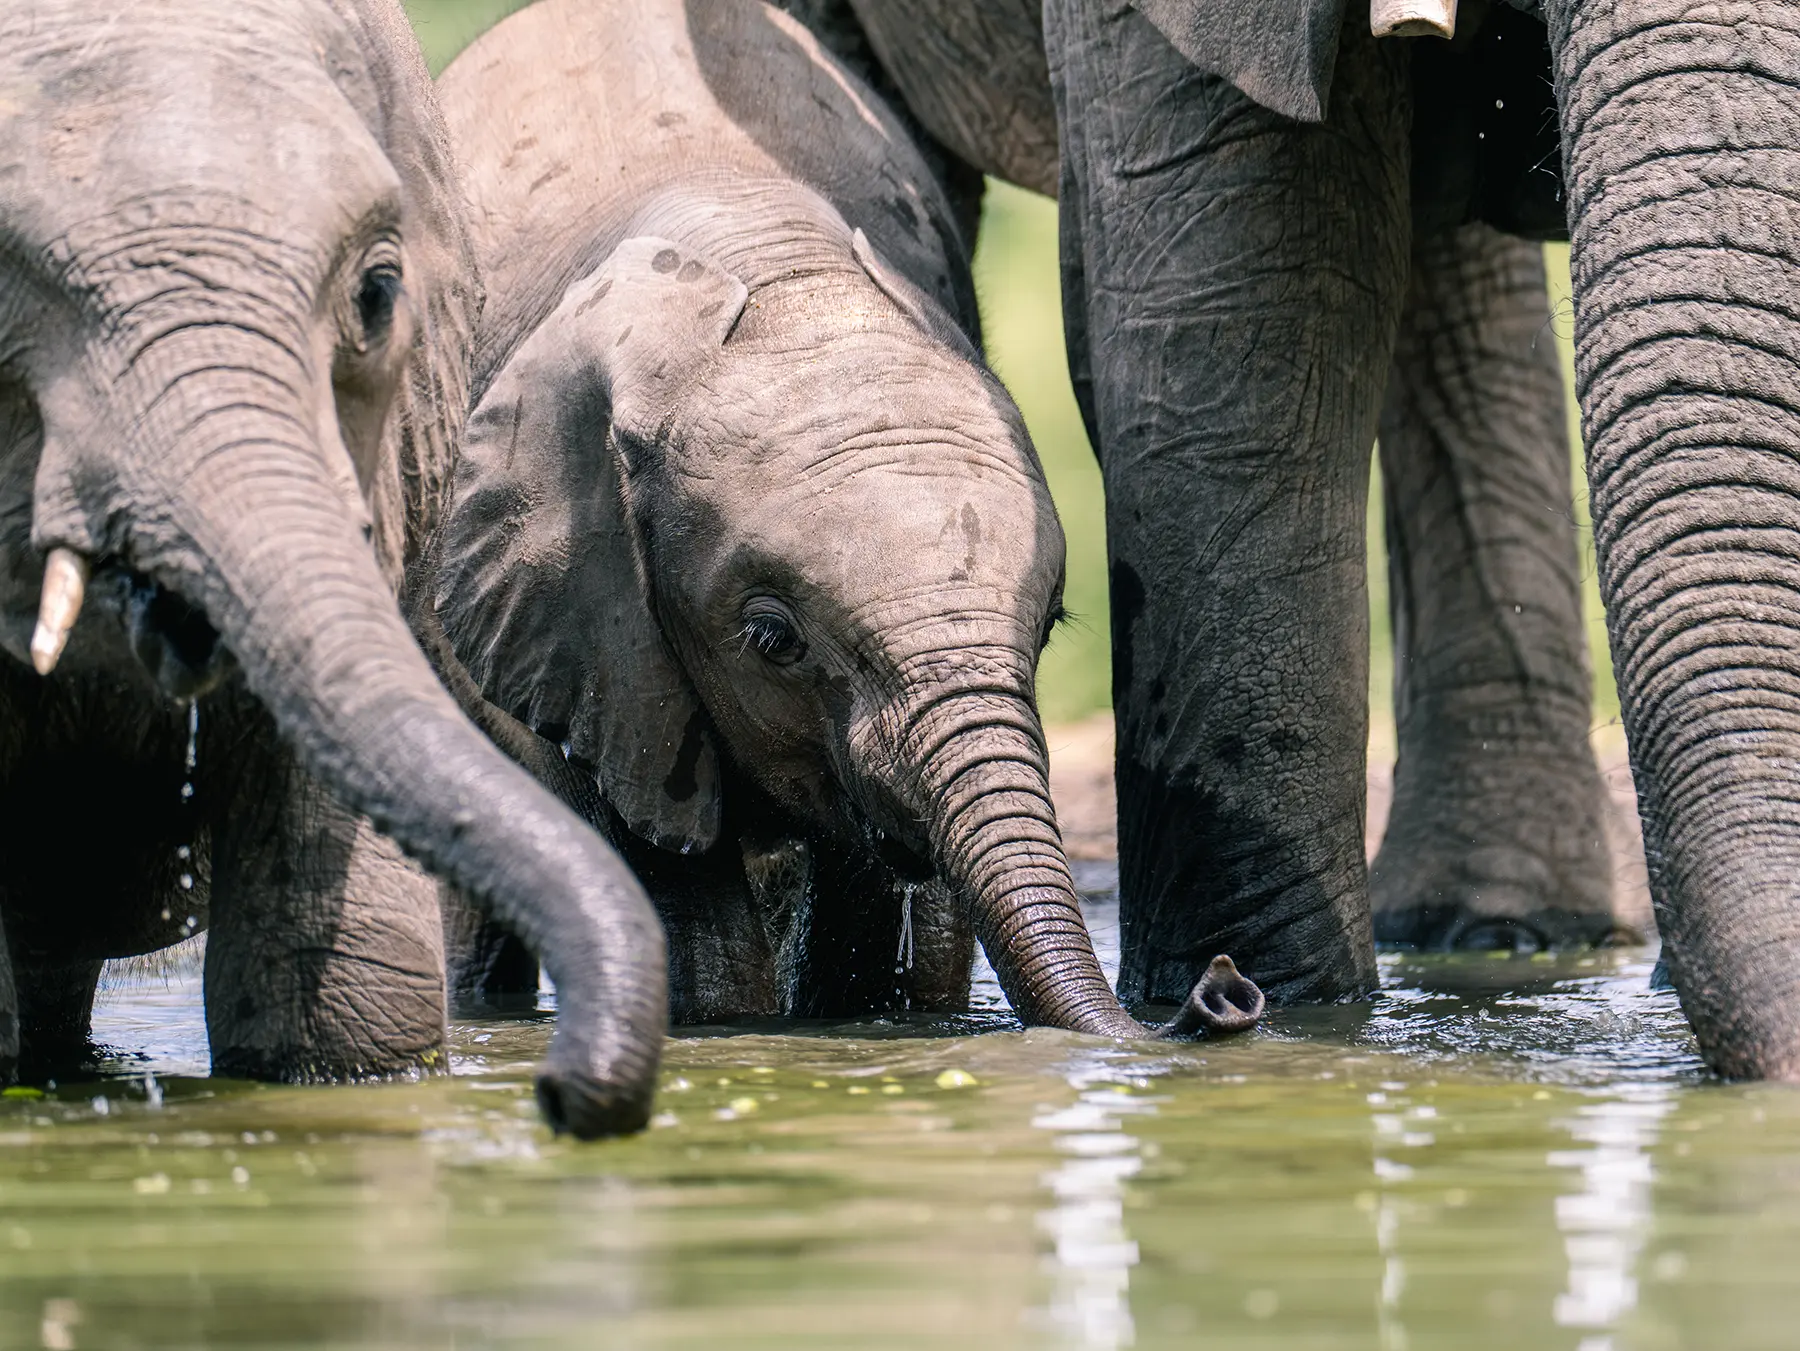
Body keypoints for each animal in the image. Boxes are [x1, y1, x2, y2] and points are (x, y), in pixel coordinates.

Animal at [429, 0, 1264, 1036]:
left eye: (1047, 629)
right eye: (771, 639)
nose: (1224, 987)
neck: (783, 279)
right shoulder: (583, 626)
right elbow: (675, 895)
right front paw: (737, 1027)